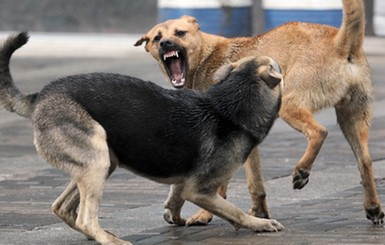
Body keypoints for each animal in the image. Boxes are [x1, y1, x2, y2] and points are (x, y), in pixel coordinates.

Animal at [0, 32, 282, 245]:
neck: (231, 105)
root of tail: (39, 96)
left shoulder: (185, 181)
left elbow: (175, 198)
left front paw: (176, 217)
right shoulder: (199, 189)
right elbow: (233, 210)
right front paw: (260, 223)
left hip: (101, 162)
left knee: (61, 207)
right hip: (97, 160)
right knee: (85, 218)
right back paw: (109, 240)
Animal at [134, 0, 382, 226]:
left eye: (180, 33)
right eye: (156, 38)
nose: (166, 43)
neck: (206, 57)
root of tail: (340, 42)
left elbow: (219, 185)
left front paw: (205, 215)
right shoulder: (247, 142)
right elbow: (255, 183)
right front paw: (260, 213)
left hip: (290, 105)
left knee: (319, 132)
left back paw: (302, 171)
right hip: (353, 118)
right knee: (365, 161)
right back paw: (373, 207)